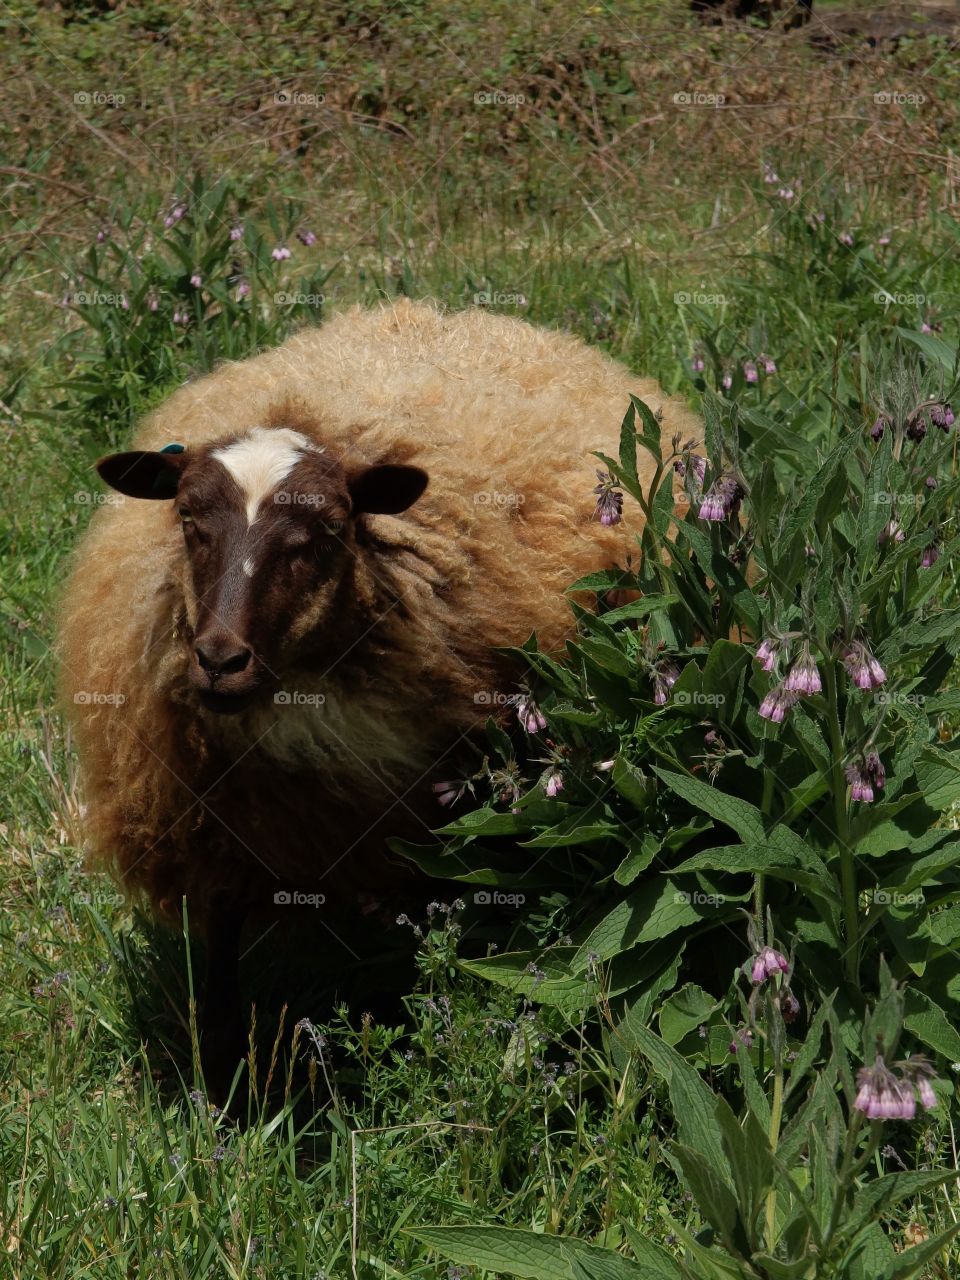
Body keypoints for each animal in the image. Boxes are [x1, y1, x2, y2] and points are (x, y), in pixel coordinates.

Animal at [58, 299, 701, 1090]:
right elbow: (220, 967)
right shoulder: (216, 830)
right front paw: (227, 1083)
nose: (220, 660)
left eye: (329, 528)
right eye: (186, 520)